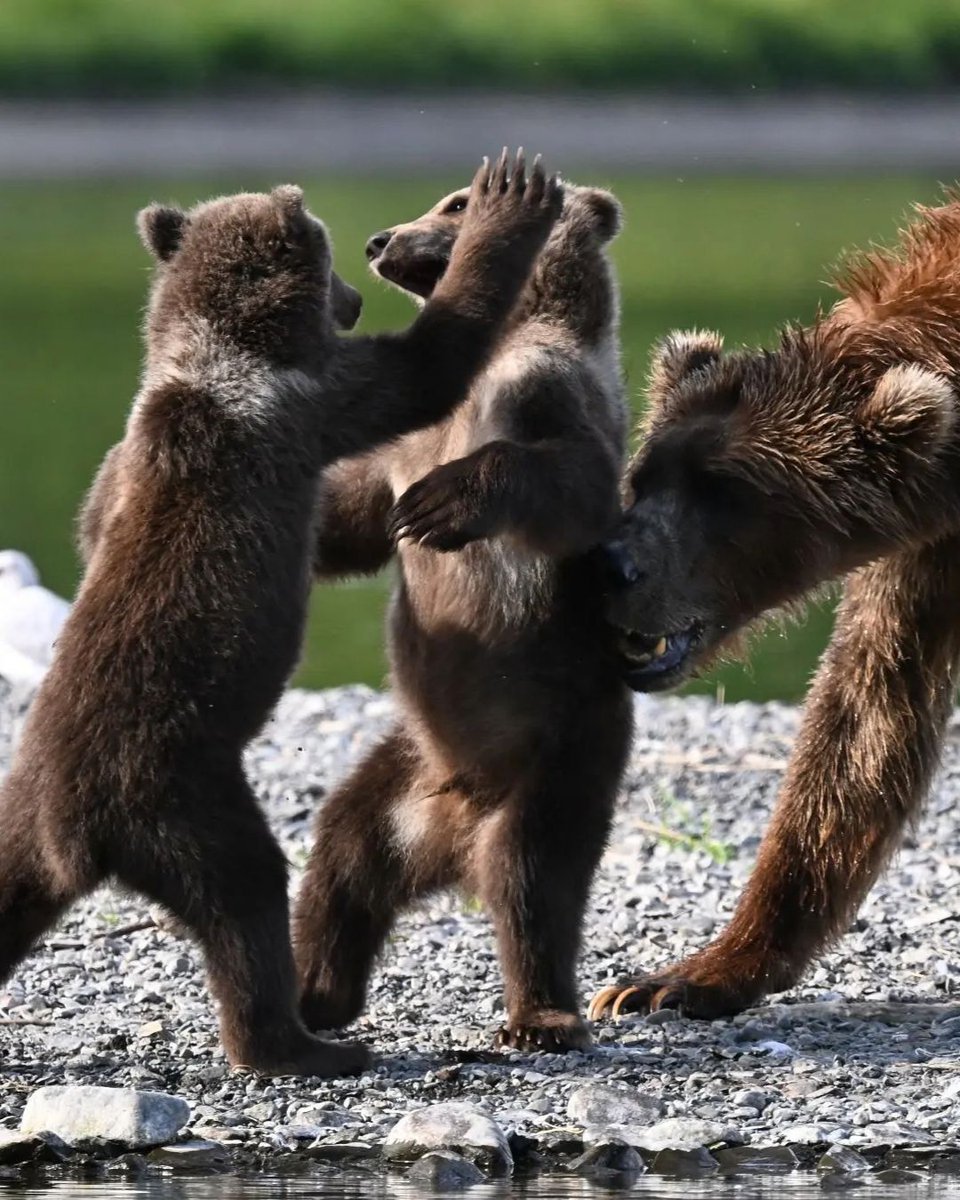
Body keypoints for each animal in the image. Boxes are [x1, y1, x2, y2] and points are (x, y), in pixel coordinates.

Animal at [0, 155, 563, 1076]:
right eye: (331, 262)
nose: (356, 295)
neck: (220, 357)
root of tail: (78, 830)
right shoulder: (312, 404)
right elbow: (425, 367)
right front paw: (510, 203)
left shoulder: (135, 455)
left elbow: (96, 513)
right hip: (183, 794)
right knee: (248, 897)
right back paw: (301, 1042)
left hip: (26, 819)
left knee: (9, 895)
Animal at [293, 178, 634, 1052]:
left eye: (453, 203)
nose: (379, 239)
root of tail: (451, 838)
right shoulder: (401, 442)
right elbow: (348, 517)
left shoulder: (546, 389)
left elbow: (567, 475)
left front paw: (443, 504)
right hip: (405, 768)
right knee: (342, 855)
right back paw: (319, 993)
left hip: (560, 750)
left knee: (533, 878)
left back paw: (543, 1013)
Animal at [589, 192, 960, 1022]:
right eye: (643, 475)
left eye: (725, 492)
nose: (608, 564)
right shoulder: (927, 547)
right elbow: (864, 724)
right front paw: (675, 978)